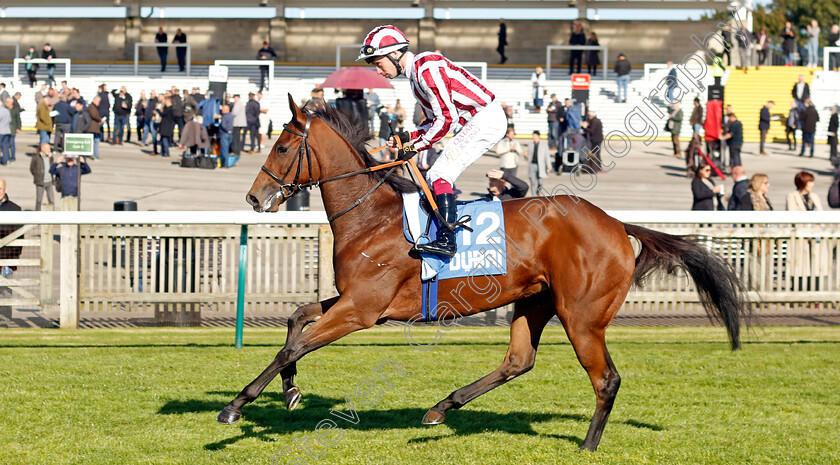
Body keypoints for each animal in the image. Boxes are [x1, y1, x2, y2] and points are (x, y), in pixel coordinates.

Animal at [223, 95, 748, 450]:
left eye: (283, 147)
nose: (252, 198)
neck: (371, 216)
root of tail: (617, 224)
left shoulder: (362, 310)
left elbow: (293, 344)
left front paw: (235, 406)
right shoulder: (354, 300)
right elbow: (296, 319)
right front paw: (290, 392)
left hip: (581, 317)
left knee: (606, 379)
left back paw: (587, 443)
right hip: (535, 301)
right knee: (519, 360)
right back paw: (440, 409)